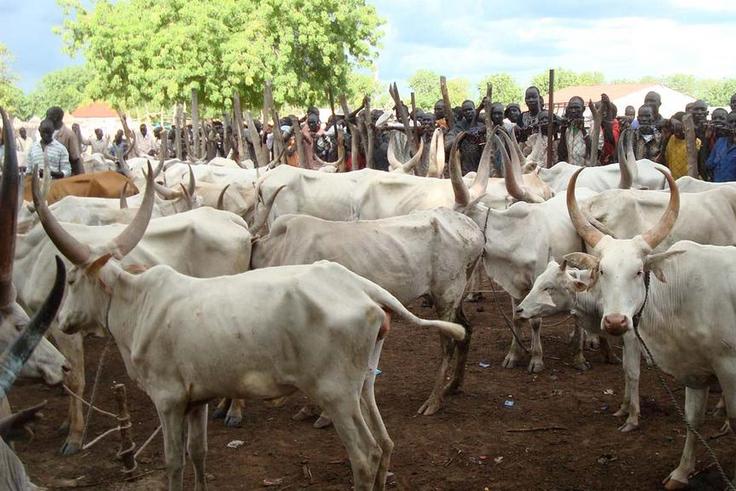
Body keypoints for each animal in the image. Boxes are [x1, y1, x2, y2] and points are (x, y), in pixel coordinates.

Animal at [33, 171, 466, 491]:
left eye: (72, 279)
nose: (63, 320)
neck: (139, 303)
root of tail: (360, 287)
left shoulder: (168, 399)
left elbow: (173, 462)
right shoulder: (196, 399)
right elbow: (198, 454)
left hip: (337, 394)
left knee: (366, 455)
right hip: (361, 386)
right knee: (385, 443)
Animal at [565, 166, 736, 489]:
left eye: (638, 271)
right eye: (602, 271)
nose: (616, 322)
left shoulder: (729, 368)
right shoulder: (695, 370)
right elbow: (693, 420)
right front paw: (682, 472)